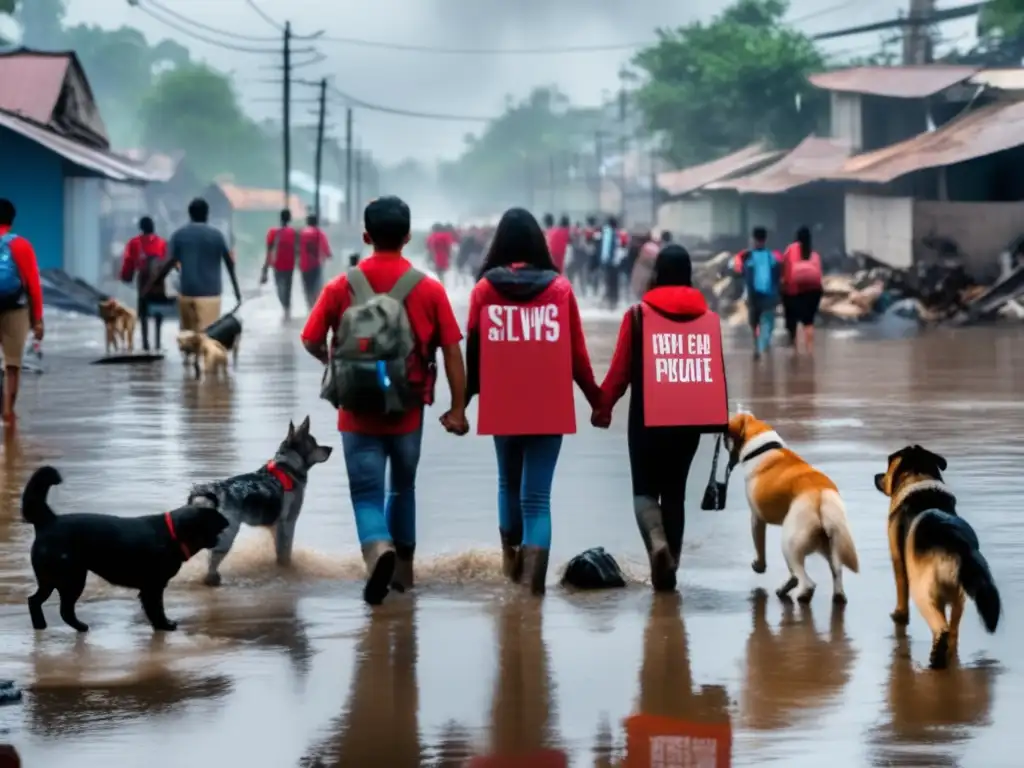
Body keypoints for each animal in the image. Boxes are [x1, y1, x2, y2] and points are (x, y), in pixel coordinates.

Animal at [22, 466, 232, 634]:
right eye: (215, 525)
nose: (226, 526)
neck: (172, 534)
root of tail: (48, 520)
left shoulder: (151, 587)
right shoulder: (153, 586)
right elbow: (156, 609)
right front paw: (164, 626)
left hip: (50, 579)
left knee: (34, 600)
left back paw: (40, 626)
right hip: (71, 579)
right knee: (64, 609)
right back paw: (80, 627)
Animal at [190, 417, 333, 585]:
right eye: (314, 443)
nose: (330, 449)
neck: (288, 466)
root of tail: (212, 491)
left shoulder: (275, 527)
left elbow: (279, 553)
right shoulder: (288, 523)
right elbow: (285, 553)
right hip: (227, 535)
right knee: (211, 563)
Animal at [724, 415, 860, 606]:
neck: (762, 447)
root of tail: (820, 494)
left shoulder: (756, 518)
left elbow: (759, 546)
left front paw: (759, 566)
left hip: (790, 542)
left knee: (806, 580)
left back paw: (802, 595)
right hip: (827, 542)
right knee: (834, 570)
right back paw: (836, 596)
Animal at [872, 448, 999, 671]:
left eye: (888, 468)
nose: (876, 476)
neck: (918, 479)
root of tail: (957, 543)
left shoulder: (897, 559)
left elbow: (900, 587)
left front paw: (899, 615)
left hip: (923, 592)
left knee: (942, 627)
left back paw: (936, 659)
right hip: (959, 594)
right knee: (953, 629)